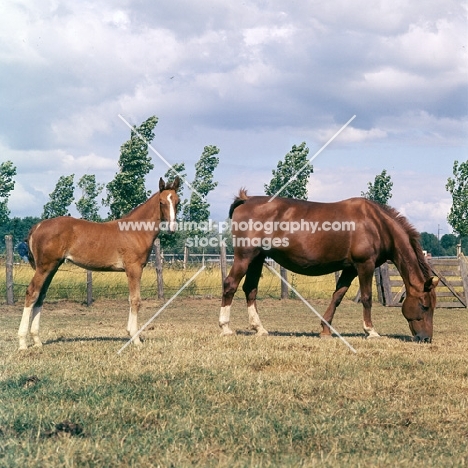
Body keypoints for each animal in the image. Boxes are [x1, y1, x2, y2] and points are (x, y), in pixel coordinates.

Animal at [18, 177, 179, 350]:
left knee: (41, 295)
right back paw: (22, 343)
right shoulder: (134, 268)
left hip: (52, 267)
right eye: (161, 202)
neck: (135, 230)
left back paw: (37, 341)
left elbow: (131, 299)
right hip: (44, 267)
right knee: (32, 293)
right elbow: (135, 300)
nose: (172, 228)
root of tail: (38, 226)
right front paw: (136, 339)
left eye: (177, 201)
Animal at [219, 191, 438, 344]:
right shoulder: (364, 265)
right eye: (424, 306)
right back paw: (225, 327)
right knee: (230, 285)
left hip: (257, 259)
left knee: (250, 289)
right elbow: (366, 298)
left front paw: (325, 329)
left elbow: (337, 296)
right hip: (245, 257)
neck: (376, 224)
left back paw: (259, 328)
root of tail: (246, 200)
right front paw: (371, 331)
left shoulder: (350, 269)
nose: (426, 338)